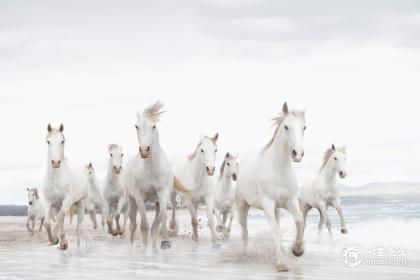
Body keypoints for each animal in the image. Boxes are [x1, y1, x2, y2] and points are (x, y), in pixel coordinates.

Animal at [124, 101, 188, 250]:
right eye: (136, 126)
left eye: (154, 126)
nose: (144, 150)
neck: (151, 169)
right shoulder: (139, 197)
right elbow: (144, 225)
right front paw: (144, 247)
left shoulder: (163, 194)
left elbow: (162, 218)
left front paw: (165, 242)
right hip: (132, 200)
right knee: (133, 224)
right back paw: (132, 246)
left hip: (156, 202)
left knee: (154, 225)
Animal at [236, 103, 306, 272]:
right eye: (286, 127)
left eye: (304, 127)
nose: (297, 154)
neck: (279, 170)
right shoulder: (268, 204)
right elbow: (274, 230)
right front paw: (281, 264)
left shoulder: (289, 202)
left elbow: (299, 220)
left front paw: (297, 250)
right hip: (242, 206)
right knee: (244, 231)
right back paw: (244, 255)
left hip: (277, 209)